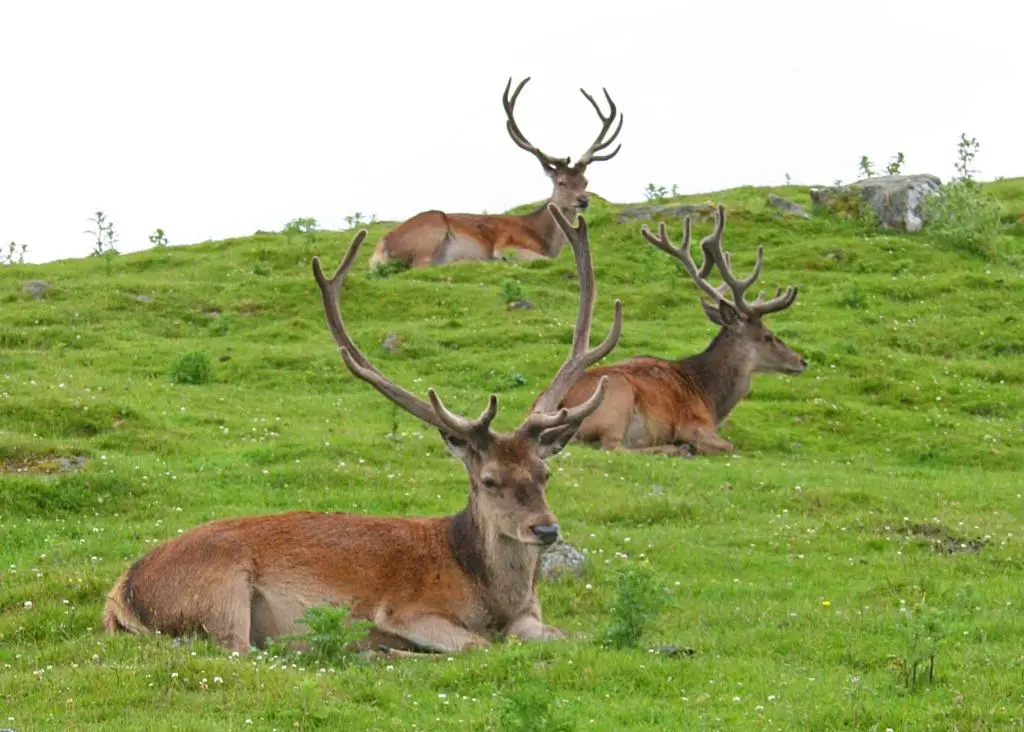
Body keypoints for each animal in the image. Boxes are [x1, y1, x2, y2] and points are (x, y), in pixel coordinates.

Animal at [102, 204, 623, 657]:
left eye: (545, 474)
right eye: (489, 480)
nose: (546, 529)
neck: (493, 598)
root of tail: (120, 593)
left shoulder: (531, 619)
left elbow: (580, 637)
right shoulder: (404, 609)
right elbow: (477, 645)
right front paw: (386, 647)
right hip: (221, 590)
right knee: (246, 651)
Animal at [367, 77, 623, 269]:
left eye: (585, 181)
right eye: (561, 182)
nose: (583, 200)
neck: (545, 239)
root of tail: (381, 246)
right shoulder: (508, 243)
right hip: (431, 232)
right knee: (421, 265)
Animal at [555, 205, 806, 457]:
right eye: (768, 336)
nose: (802, 361)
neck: (710, 398)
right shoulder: (695, 424)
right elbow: (729, 445)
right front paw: (689, 446)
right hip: (616, 400)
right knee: (614, 446)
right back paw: (676, 449)